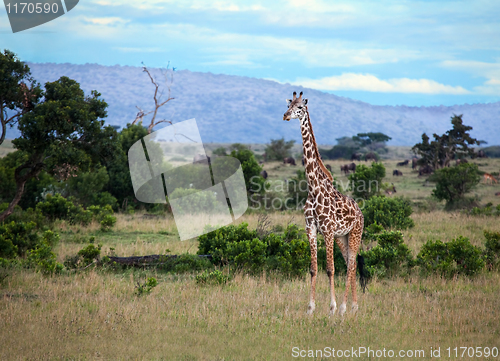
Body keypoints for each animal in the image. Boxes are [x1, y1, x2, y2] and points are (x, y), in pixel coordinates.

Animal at [286, 90, 364, 316]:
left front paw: (332, 307)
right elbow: (313, 268)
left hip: (355, 233)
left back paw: (345, 307)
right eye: (288, 105)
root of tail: (360, 212)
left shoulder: (327, 230)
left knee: (351, 265)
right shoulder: (310, 228)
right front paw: (310, 308)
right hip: (342, 237)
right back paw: (354, 306)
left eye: (300, 108)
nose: (285, 116)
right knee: (349, 264)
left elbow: (330, 269)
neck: (313, 188)